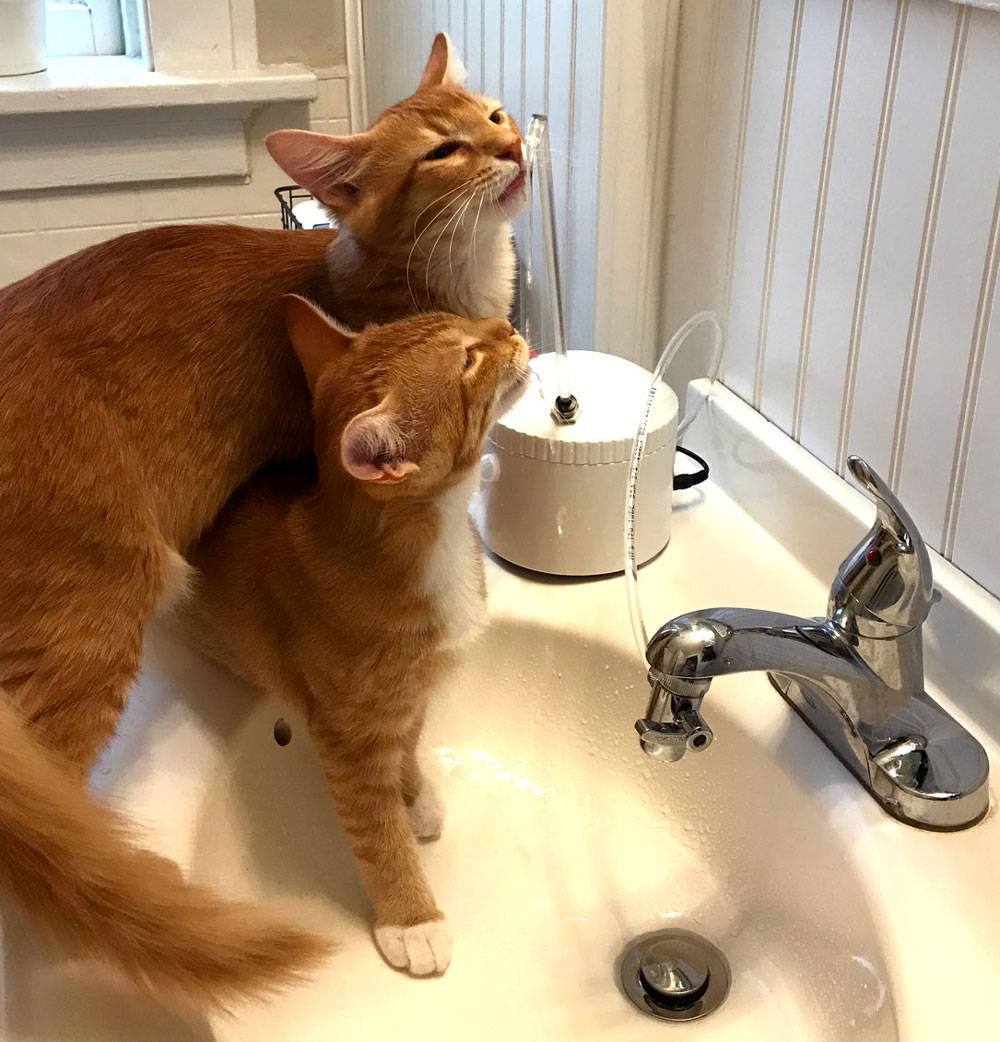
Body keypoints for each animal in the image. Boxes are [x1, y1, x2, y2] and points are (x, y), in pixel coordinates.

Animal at [181, 295, 531, 975]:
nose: (508, 326)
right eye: (468, 359)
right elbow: (376, 833)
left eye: (463, 321)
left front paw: (412, 796)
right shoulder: (346, 732)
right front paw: (412, 919)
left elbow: (409, 743)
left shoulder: (412, 693)